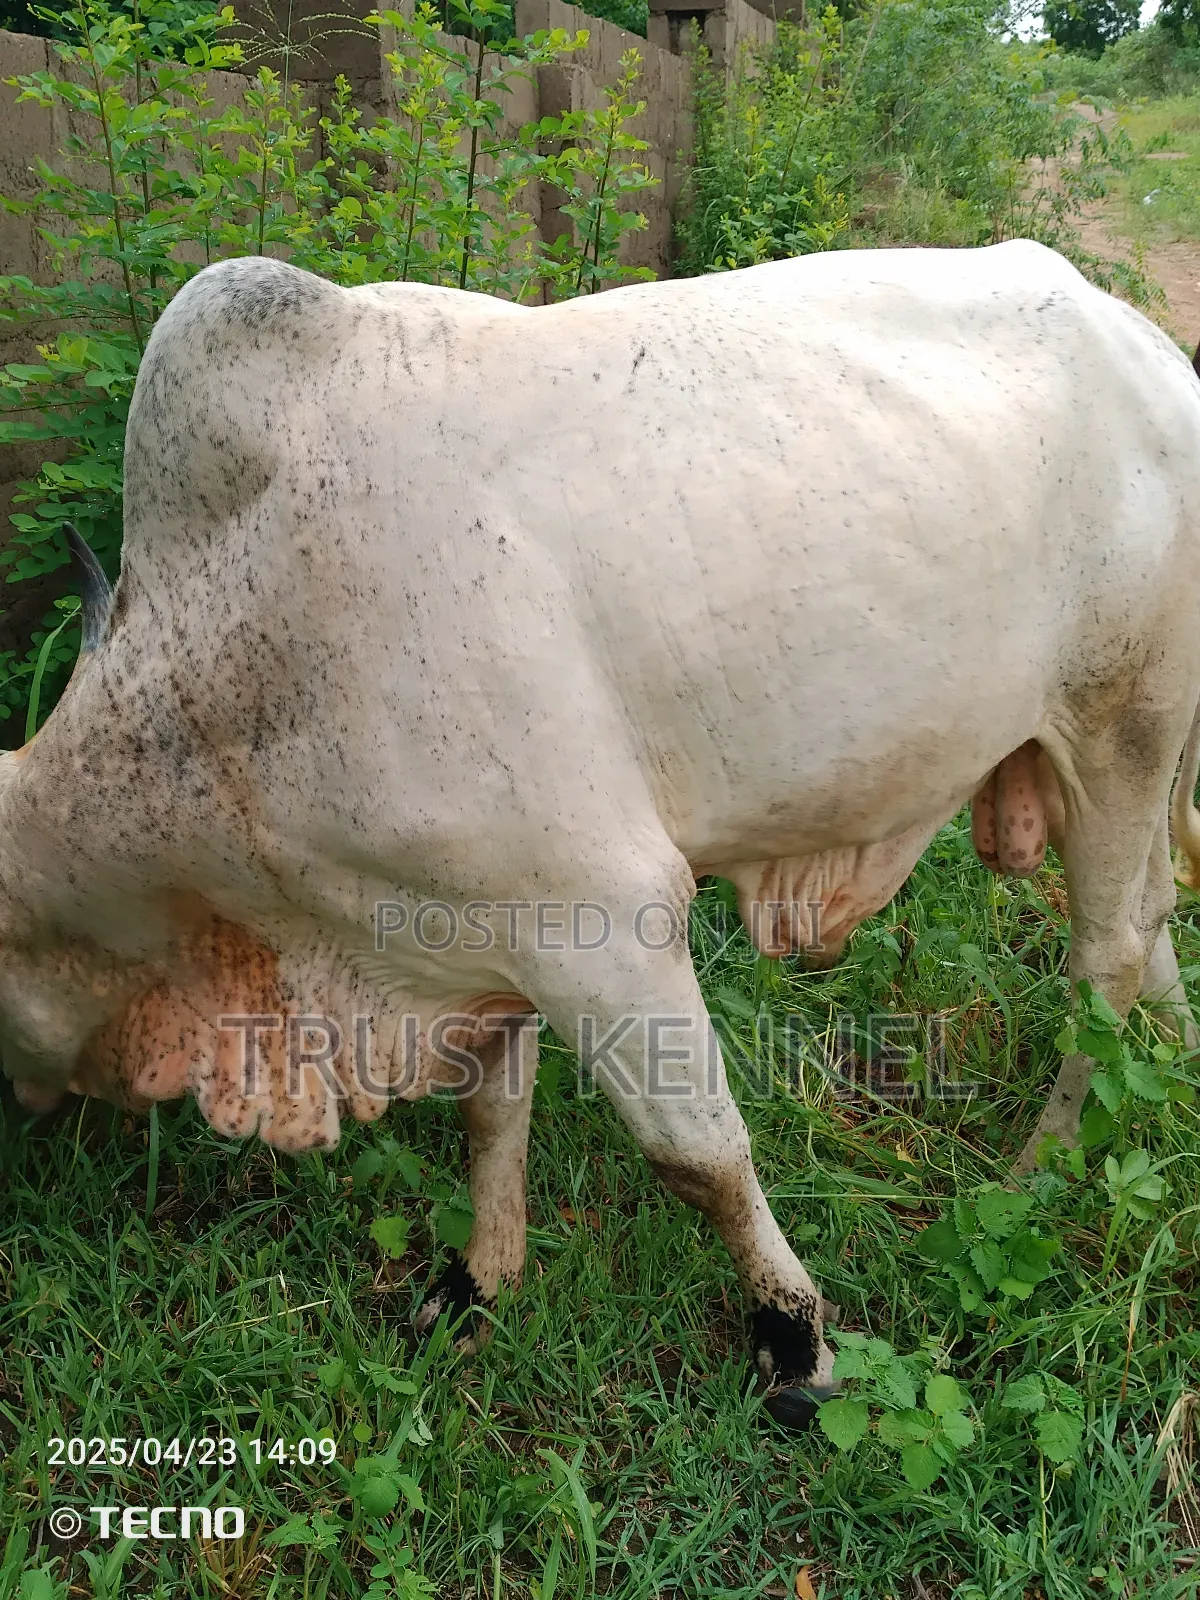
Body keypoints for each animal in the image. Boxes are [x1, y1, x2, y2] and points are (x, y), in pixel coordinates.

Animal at [3, 239, 1200, 1427]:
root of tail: (1147, 344)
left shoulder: (604, 921)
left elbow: (698, 1156)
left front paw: (796, 1339)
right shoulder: (478, 927)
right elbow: (493, 1117)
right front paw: (477, 1281)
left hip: (1122, 723)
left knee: (1106, 957)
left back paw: (1033, 1172)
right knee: (1153, 918)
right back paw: (1177, 1068)